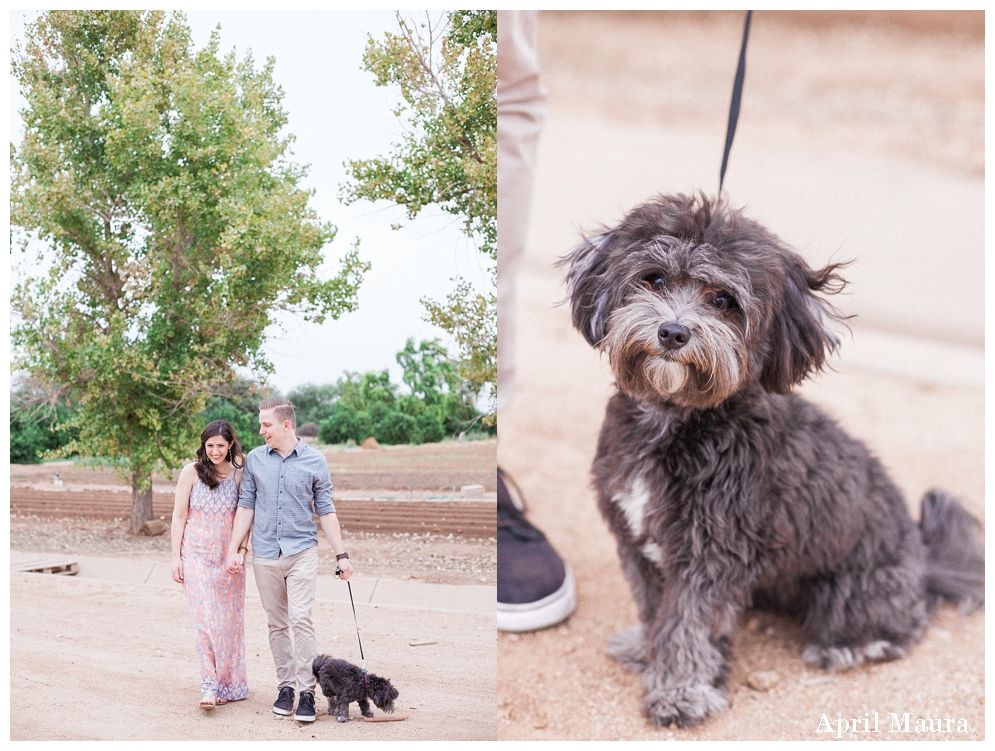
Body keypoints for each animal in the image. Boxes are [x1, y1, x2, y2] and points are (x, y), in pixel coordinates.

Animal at [564, 192, 984, 728]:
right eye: (654, 279)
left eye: (723, 300)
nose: (673, 332)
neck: (675, 419)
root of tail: (926, 560)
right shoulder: (638, 540)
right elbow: (656, 608)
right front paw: (647, 649)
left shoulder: (710, 553)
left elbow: (686, 624)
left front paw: (680, 691)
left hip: (854, 589)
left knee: (905, 622)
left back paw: (858, 645)